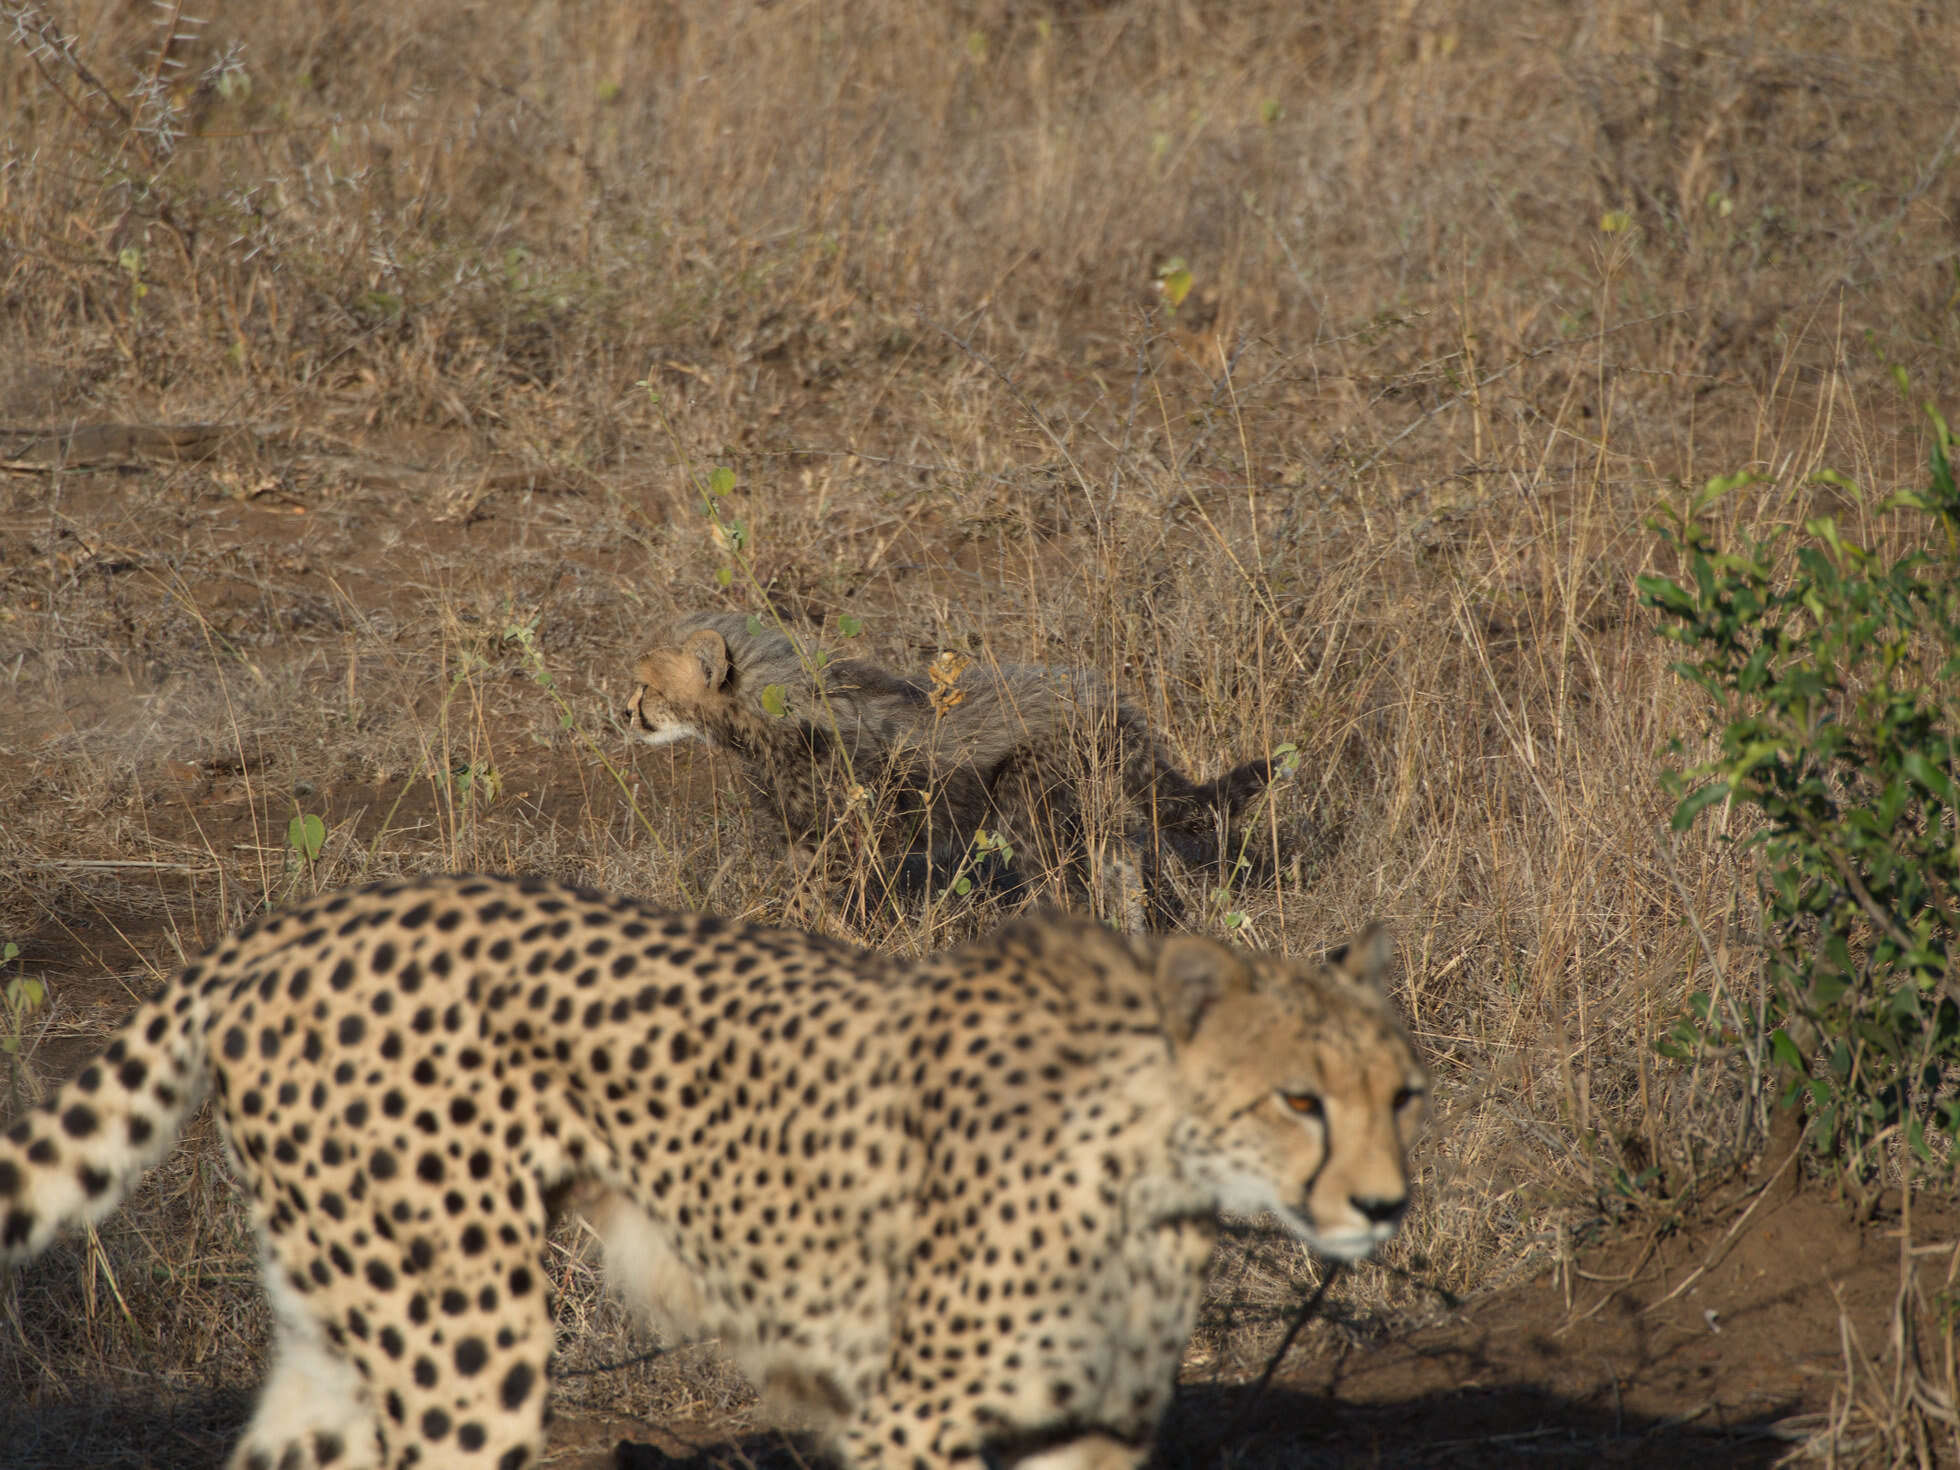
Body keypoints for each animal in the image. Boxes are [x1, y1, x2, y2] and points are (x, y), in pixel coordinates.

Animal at [3, 882, 1442, 1466]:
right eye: (1299, 1099)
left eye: (1401, 1095)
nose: (1385, 1206)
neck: (1153, 1175)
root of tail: (280, 929)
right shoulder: (910, 1423)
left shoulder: (1082, 1430)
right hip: (461, 1347)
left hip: (341, 1330)